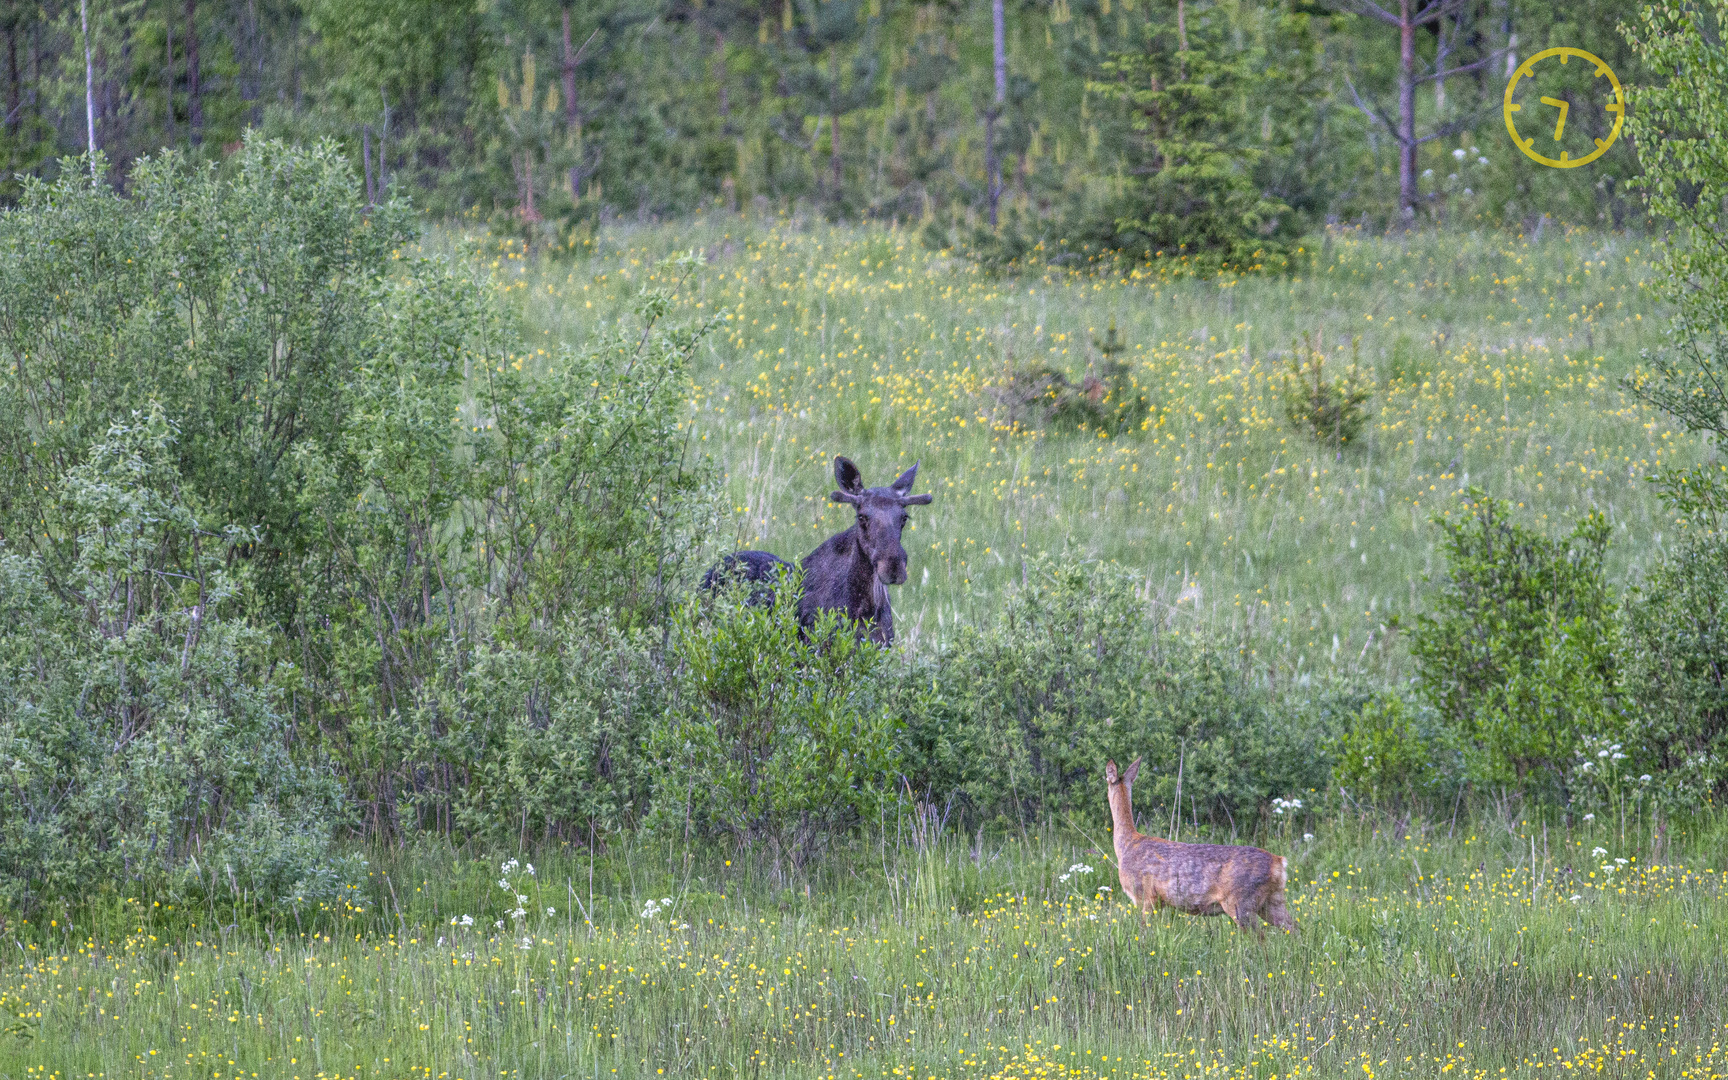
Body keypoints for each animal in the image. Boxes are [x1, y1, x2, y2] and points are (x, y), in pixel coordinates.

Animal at [1105, 753, 1299, 933]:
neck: (1127, 845)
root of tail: (1279, 863)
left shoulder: (1147, 895)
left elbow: (1144, 930)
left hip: (1241, 902)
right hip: (1272, 901)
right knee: (1295, 929)